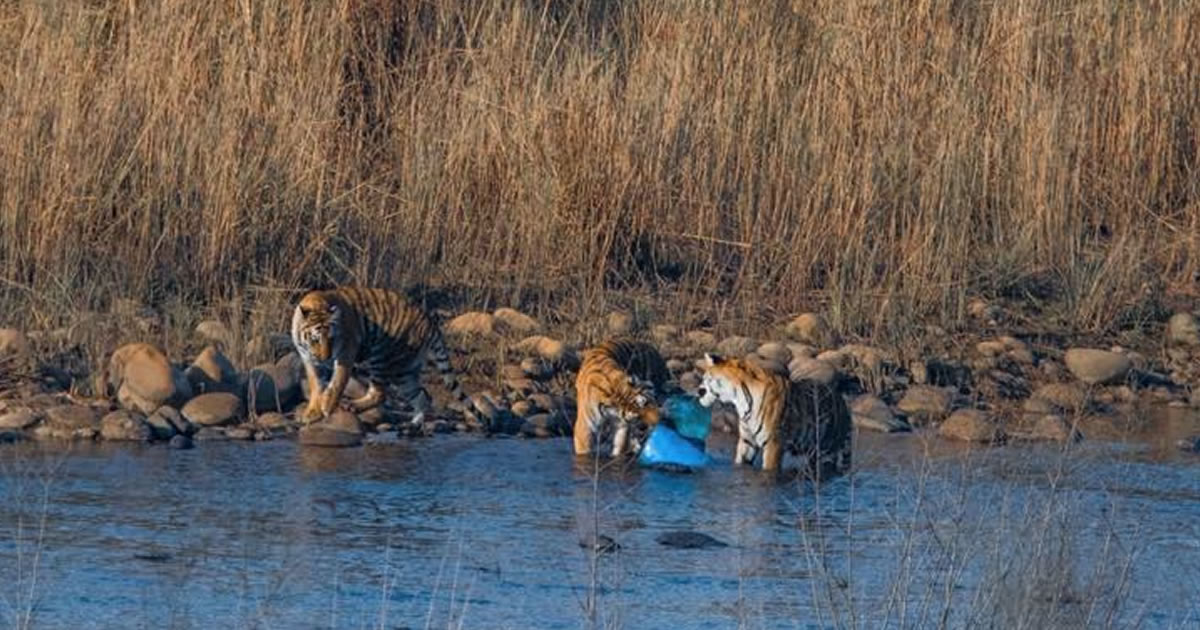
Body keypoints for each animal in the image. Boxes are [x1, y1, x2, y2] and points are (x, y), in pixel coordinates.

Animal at [290, 286, 477, 429]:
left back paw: (352, 406)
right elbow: (315, 385)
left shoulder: (346, 354)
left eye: (332, 339)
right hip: (405, 371)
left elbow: (337, 383)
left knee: (380, 394)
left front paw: (327, 406)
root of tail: (428, 322)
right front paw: (312, 413)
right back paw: (413, 425)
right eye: (316, 339)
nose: (325, 357)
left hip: (381, 358)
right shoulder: (308, 359)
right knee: (422, 396)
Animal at [696, 352, 854, 477]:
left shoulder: (774, 443)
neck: (740, 400)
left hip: (827, 450)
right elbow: (740, 462)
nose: (699, 391)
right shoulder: (747, 440)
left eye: (707, 378)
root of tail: (843, 402)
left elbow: (769, 469)